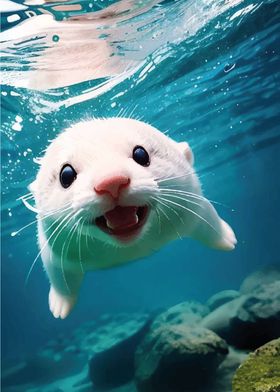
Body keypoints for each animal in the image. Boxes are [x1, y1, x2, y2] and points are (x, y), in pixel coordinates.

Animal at [30, 118, 236, 318]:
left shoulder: (190, 205)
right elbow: (59, 275)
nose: (111, 182)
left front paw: (227, 239)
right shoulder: (58, 248)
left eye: (141, 154)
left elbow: (207, 220)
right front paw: (60, 305)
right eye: (66, 175)